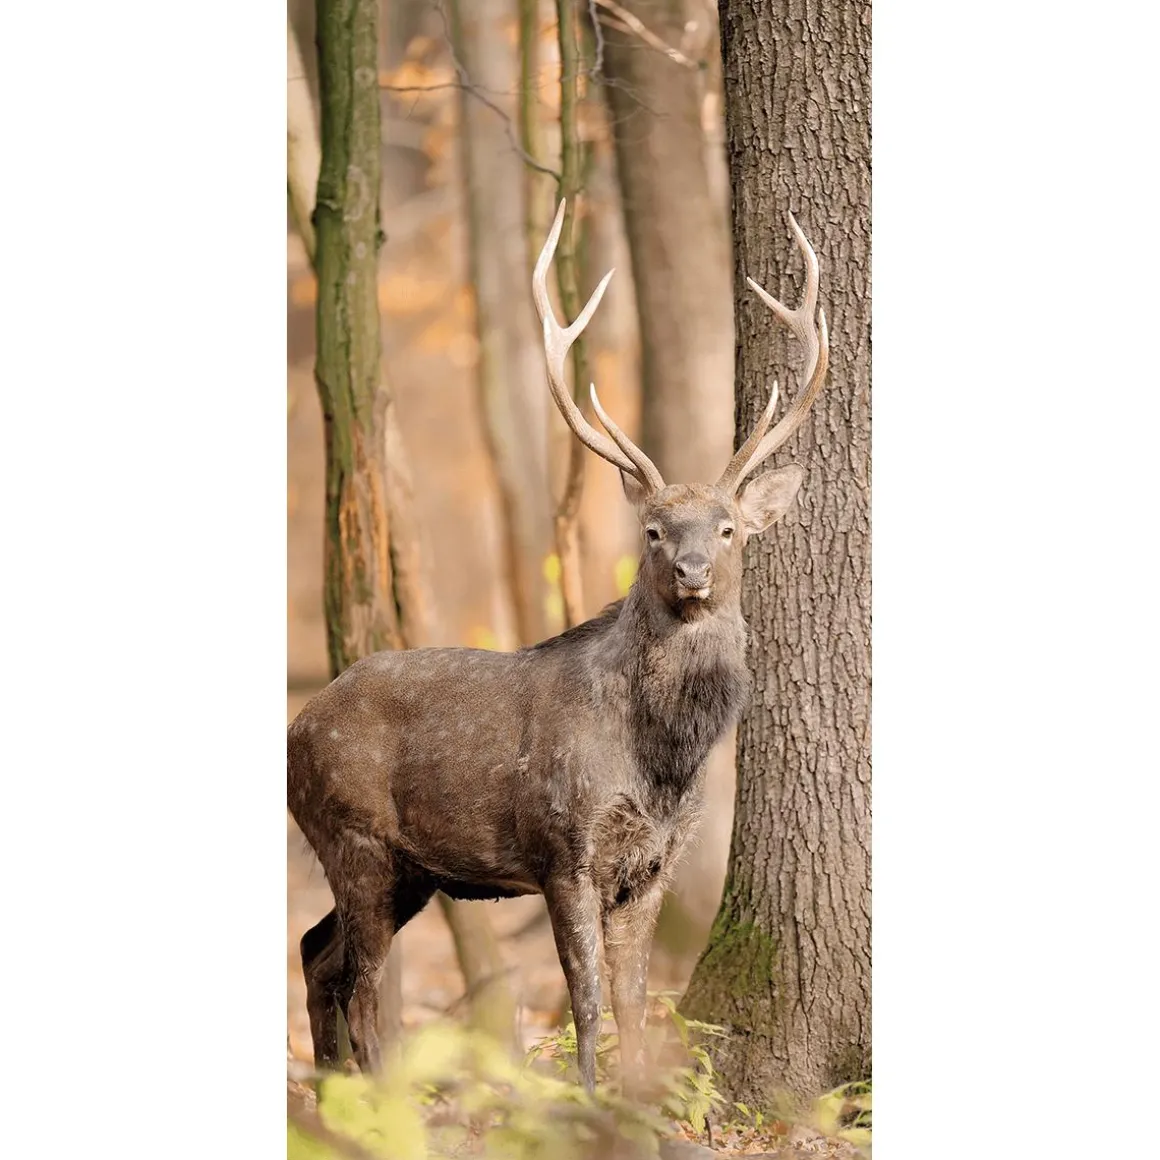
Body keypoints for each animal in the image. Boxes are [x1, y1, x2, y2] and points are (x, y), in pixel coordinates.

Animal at [287, 200, 829, 1094]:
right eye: (653, 530)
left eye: (727, 529)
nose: (692, 572)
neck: (661, 763)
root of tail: (296, 725)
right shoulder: (563, 846)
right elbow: (588, 998)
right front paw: (586, 1096)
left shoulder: (654, 864)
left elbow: (638, 999)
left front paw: (640, 1099)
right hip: (352, 834)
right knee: (359, 977)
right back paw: (380, 1091)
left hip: (408, 869)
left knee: (315, 951)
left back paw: (335, 1092)